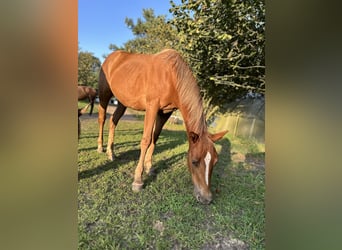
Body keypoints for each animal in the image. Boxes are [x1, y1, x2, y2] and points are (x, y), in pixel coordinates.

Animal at [96, 49, 227, 204]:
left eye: (215, 161)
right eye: (194, 161)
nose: (206, 198)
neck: (171, 76)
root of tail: (111, 58)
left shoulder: (165, 112)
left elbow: (155, 137)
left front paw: (149, 167)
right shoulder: (152, 107)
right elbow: (146, 139)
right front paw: (138, 180)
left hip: (123, 101)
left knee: (113, 121)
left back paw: (111, 152)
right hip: (104, 94)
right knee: (102, 119)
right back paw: (101, 147)